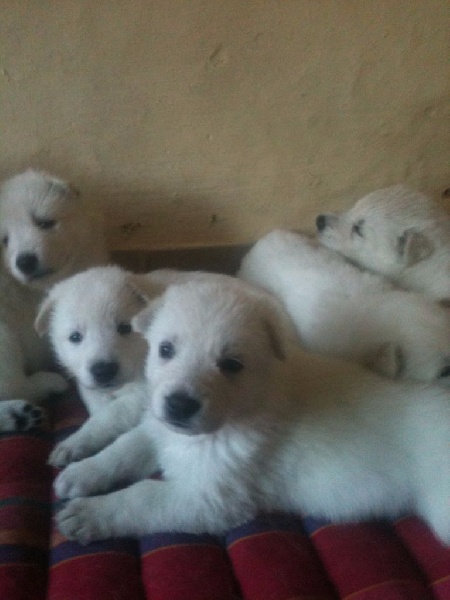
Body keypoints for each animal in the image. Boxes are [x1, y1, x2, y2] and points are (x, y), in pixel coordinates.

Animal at [0, 170, 108, 432]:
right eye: (5, 240)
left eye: (44, 222)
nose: (25, 261)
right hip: (3, 337)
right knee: (13, 384)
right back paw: (43, 387)